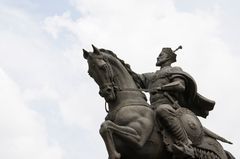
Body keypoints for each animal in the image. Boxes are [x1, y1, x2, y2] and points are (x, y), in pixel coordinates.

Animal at [82, 45, 234, 159]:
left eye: (102, 66)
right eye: (90, 72)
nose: (107, 92)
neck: (126, 104)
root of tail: (223, 151)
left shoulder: (139, 138)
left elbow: (106, 126)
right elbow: (105, 128)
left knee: (165, 111)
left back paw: (185, 147)